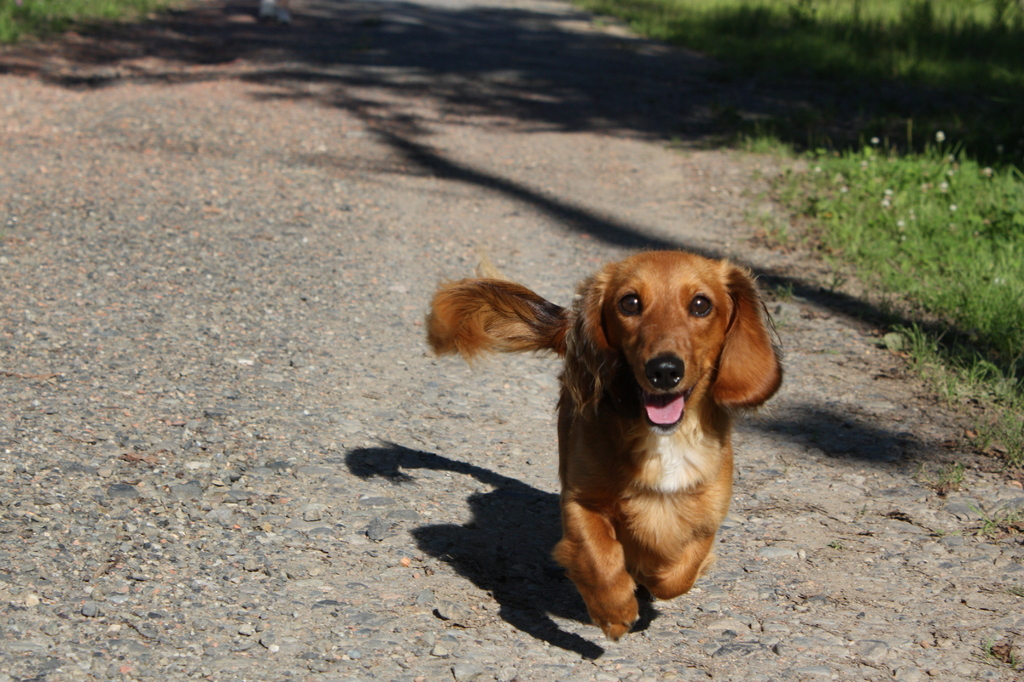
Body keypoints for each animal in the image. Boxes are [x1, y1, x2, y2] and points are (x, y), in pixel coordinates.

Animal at [423, 249, 782, 638]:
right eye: (630, 302)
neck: (663, 439)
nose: (664, 370)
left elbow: (677, 573)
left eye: (701, 305)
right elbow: (599, 556)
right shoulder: (582, 499)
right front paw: (615, 608)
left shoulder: (707, 513)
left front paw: (650, 568)